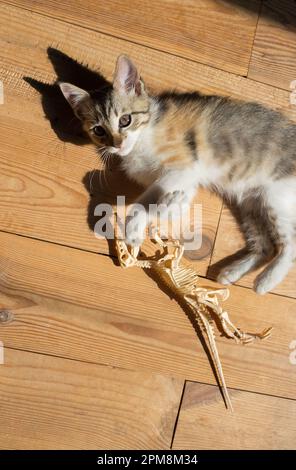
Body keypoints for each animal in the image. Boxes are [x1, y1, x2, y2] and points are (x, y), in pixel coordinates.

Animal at [59, 54, 296, 294]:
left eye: (125, 120)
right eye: (99, 131)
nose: (117, 145)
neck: (143, 137)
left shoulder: (183, 167)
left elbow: (146, 202)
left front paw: (139, 223)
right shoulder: (183, 181)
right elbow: (162, 203)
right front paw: (165, 209)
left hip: (274, 196)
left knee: (290, 245)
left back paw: (266, 280)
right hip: (250, 204)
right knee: (265, 246)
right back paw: (232, 272)